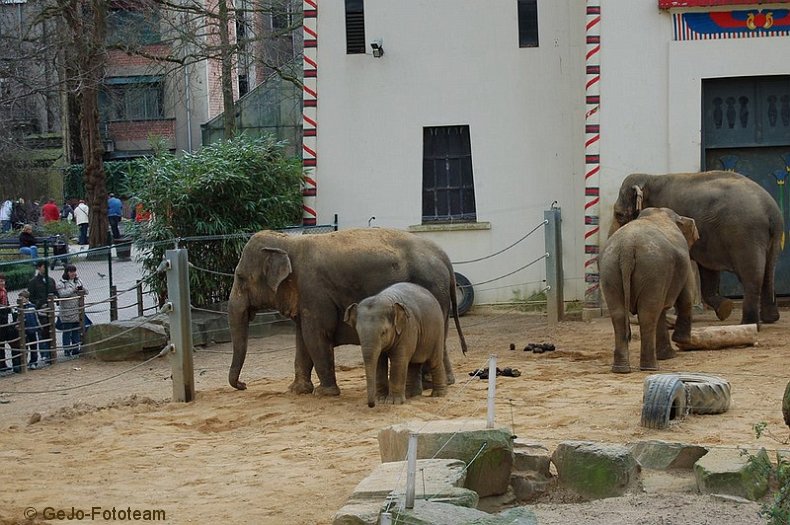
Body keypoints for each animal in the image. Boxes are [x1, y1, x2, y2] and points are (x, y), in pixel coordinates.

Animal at [344, 280, 448, 408]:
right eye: (358, 332)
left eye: (383, 332)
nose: (371, 405)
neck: (385, 298)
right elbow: (379, 362)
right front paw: (381, 400)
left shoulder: (407, 328)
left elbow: (399, 360)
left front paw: (393, 402)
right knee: (413, 363)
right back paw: (410, 395)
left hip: (438, 330)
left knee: (434, 361)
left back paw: (438, 395)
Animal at [600, 206, 700, 372]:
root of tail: (627, 246)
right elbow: (685, 294)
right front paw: (681, 343)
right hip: (653, 269)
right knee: (648, 314)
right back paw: (651, 368)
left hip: (610, 269)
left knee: (619, 315)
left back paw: (621, 369)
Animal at [608, 170, 784, 324]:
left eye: (619, 214)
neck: (650, 178)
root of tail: (772, 212)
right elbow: (708, 270)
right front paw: (725, 309)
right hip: (771, 238)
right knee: (769, 271)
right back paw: (770, 319)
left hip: (745, 234)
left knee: (752, 276)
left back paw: (748, 323)